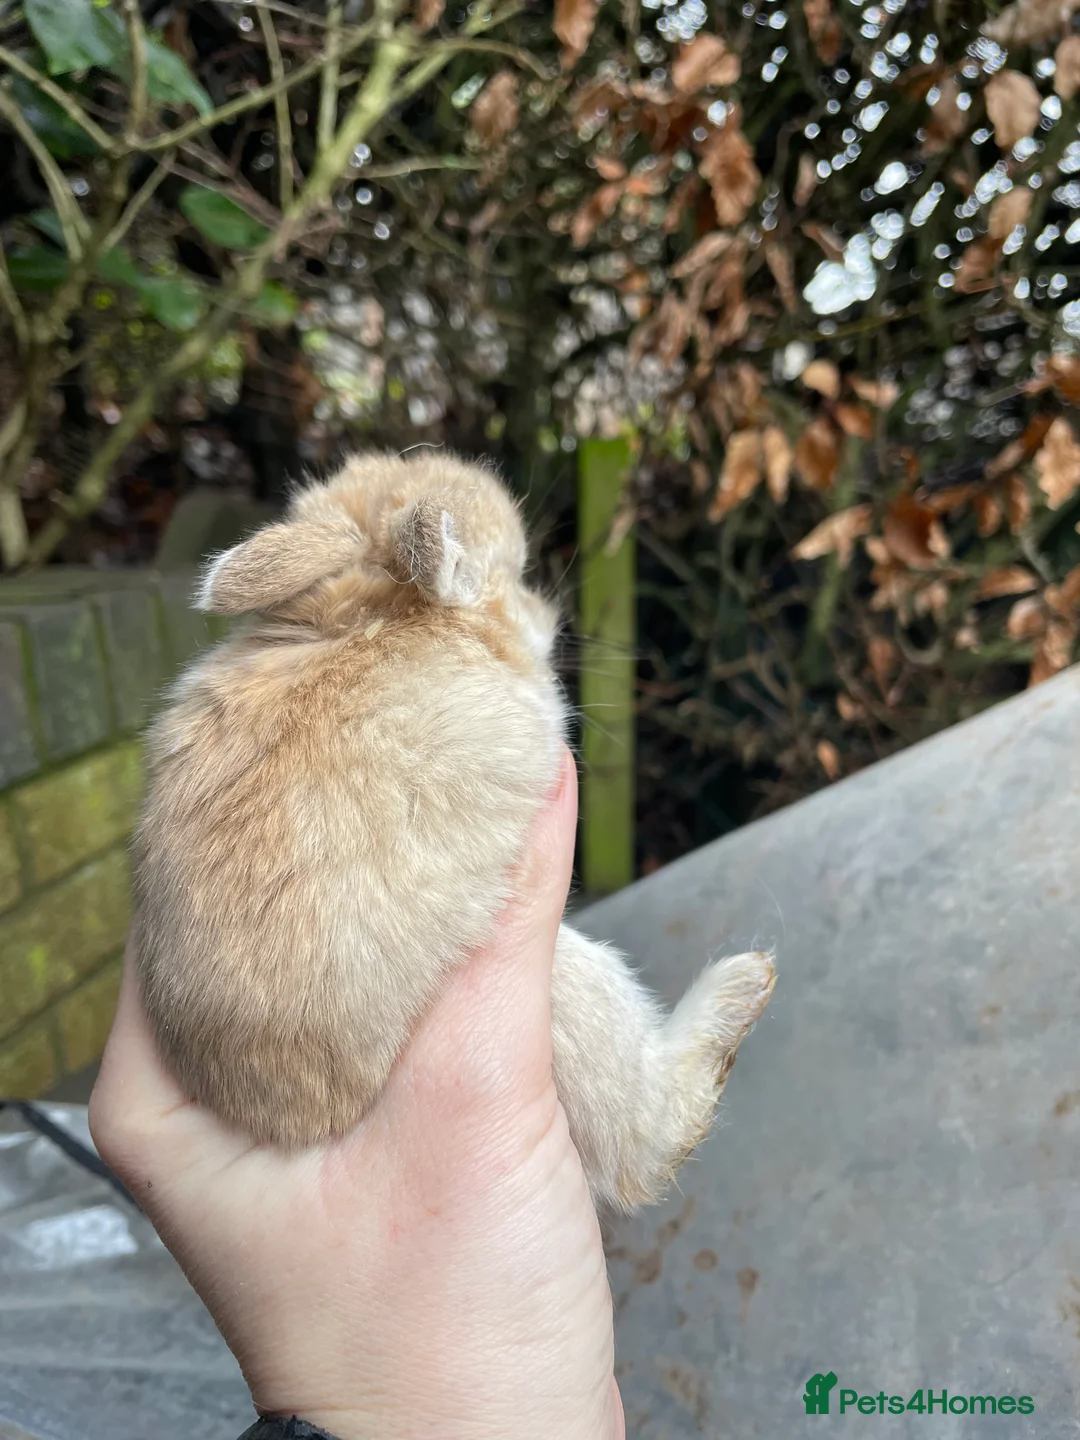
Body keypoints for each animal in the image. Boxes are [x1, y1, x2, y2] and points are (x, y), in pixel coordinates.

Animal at [131, 450, 775, 1213]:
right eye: (521, 576)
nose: (550, 614)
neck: (375, 611)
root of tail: (288, 1123)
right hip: (570, 994)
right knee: (649, 1145)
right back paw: (744, 985)